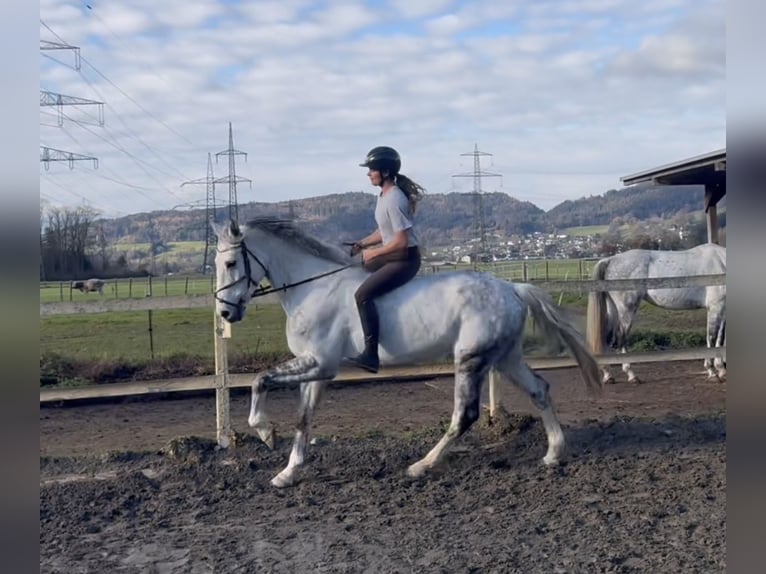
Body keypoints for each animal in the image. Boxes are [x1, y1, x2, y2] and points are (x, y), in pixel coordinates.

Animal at [213, 220, 604, 490]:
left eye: (231, 263)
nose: (226, 314)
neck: (313, 288)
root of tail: (512, 288)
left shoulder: (320, 364)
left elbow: (260, 379)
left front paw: (265, 432)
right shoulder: (316, 371)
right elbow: (302, 419)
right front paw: (288, 472)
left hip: (470, 359)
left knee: (465, 414)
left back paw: (421, 466)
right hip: (505, 357)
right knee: (539, 389)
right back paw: (554, 454)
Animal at [588, 244, 728, 384]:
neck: (721, 261)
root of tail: (610, 260)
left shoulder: (723, 310)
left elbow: (720, 338)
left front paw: (721, 369)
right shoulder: (715, 308)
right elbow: (712, 338)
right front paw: (712, 372)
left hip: (612, 309)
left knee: (607, 337)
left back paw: (608, 375)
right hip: (626, 311)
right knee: (621, 338)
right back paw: (631, 375)